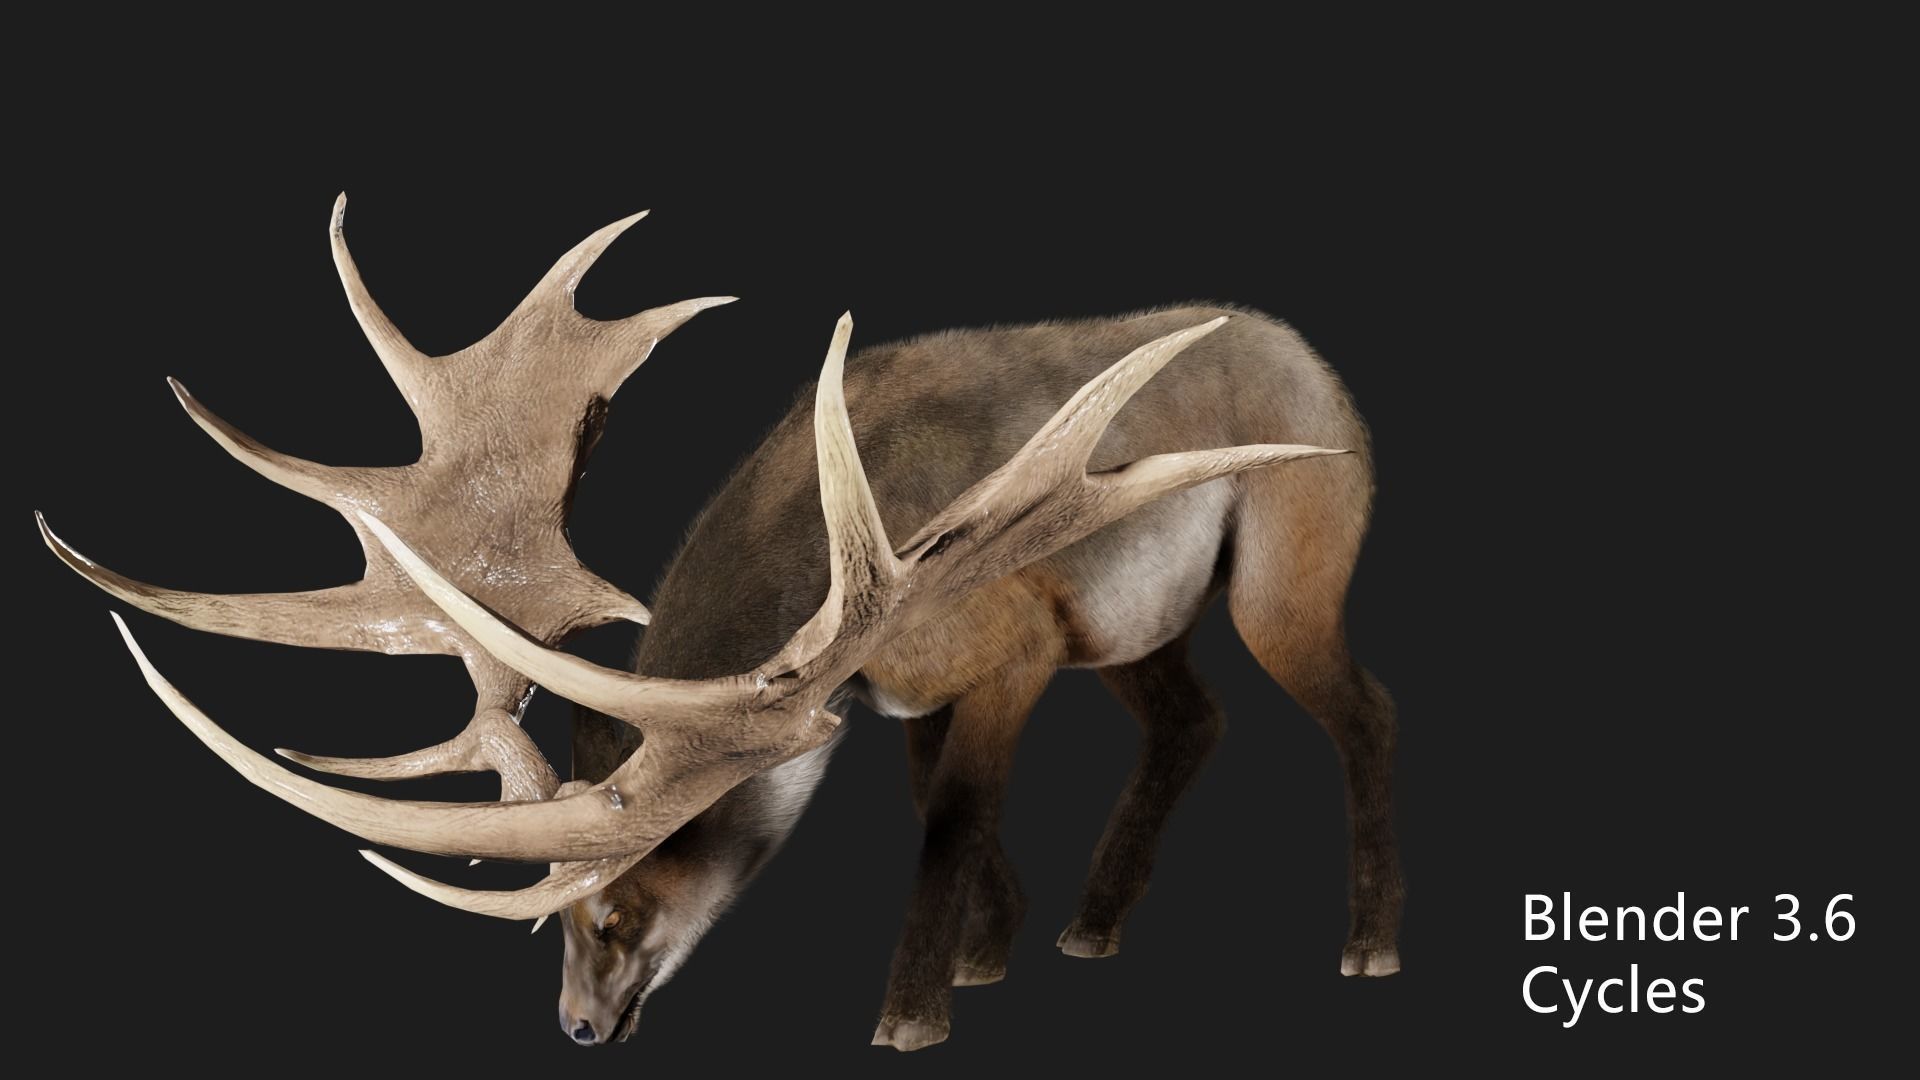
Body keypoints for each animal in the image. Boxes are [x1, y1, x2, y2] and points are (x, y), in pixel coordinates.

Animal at [38, 198, 1400, 1052]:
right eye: (556, 927)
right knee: (1193, 719)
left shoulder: (1001, 653)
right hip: (1133, 629)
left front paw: (912, 1014)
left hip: (1287, 560)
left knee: (1360, 706)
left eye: (616, 910)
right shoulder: (898, 691)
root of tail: (1318, 364)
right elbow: (935, 803)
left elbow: (952, 821)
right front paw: (992, 950)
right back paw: (1095, 925)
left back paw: (1370, 944)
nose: (579, 1028)